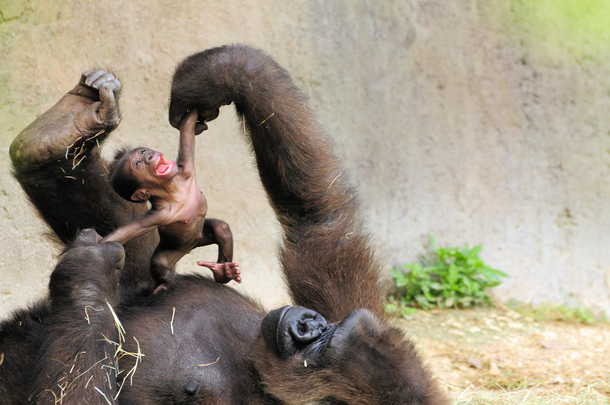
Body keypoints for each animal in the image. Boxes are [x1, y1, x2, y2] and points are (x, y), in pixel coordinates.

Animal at [103, 108, 239, 290]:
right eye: (138, 164)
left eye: (142, 152)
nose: (149, 156)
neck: (173, 191)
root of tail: (189, 249)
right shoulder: (159, 214)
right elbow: (122, 234)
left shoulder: (184, 168)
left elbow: (187, 128)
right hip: (172, 250)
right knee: (159, 262)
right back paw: (166, 281)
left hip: (201, 237)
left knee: (221, 228)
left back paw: (223, 271)